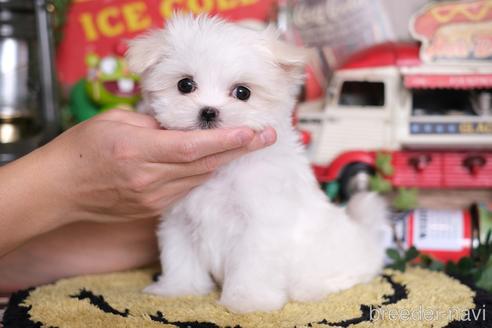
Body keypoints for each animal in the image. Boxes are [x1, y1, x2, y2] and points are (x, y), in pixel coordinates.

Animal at [125, 14, 386, 314]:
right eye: (185, 85)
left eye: (243, 92)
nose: (208, 112)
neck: (223, 167)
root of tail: (367, 241)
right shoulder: (179, 220)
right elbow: (180, 257)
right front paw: (178, 290)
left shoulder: (260, 226)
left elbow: (252, 267)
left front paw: (247, 301)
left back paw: (309, 290)